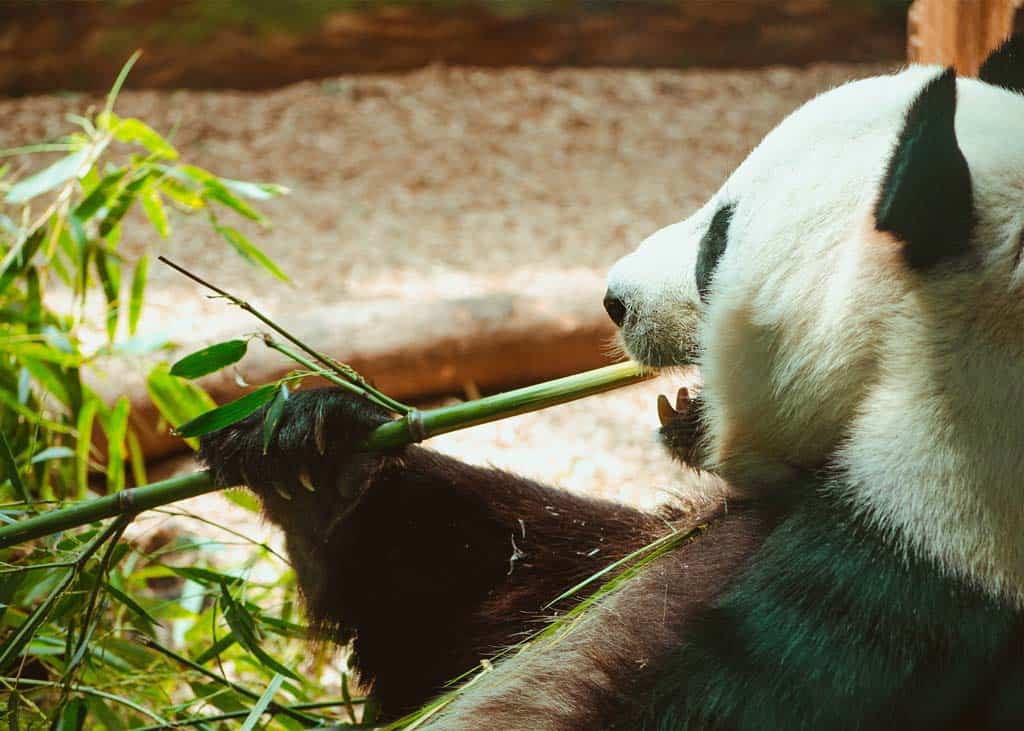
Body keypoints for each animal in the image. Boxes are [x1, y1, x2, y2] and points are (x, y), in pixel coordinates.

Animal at [199, 35, 1024, 728]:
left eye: (717, 242)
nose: (614, 299)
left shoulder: (900, 596)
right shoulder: (707, 526)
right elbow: (509, 587)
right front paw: (317, 453)